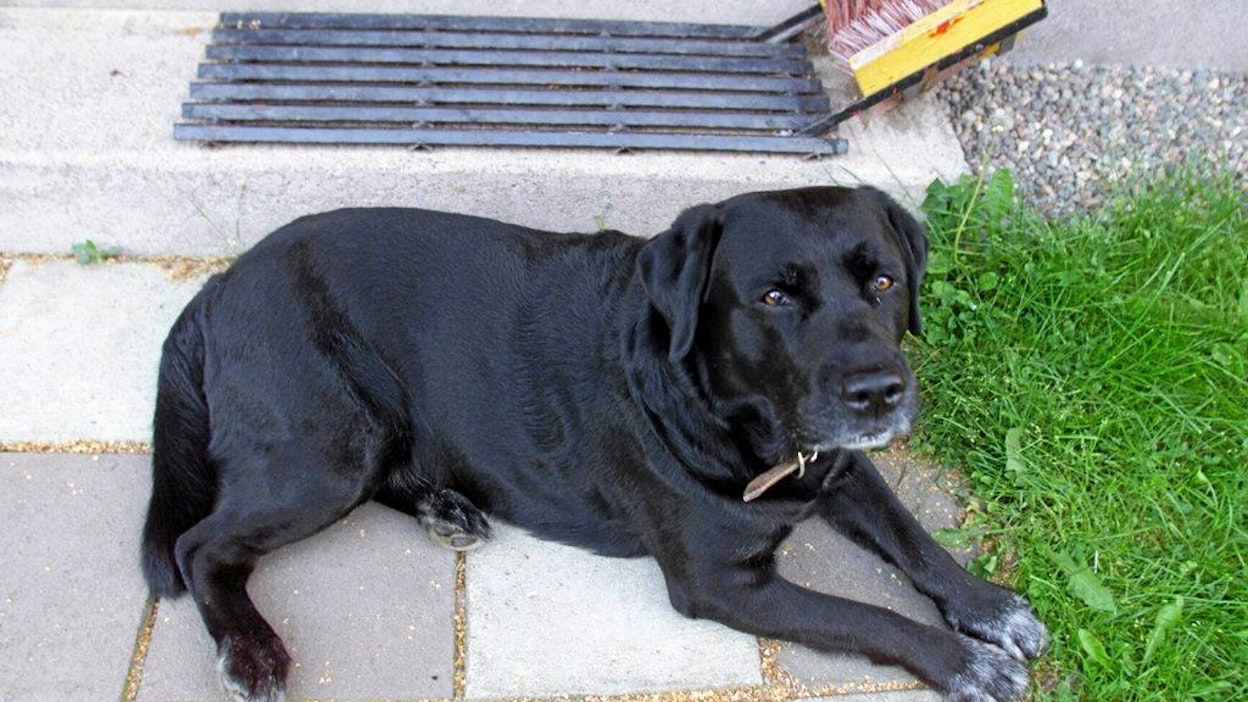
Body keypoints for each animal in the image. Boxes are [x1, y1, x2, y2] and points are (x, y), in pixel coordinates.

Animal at [141, 186, 1047, 702]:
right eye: (775, 297)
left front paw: (990, 609)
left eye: (884, 280)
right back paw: (250, 649)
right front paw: (964, 662)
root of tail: (219, 282)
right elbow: (869, 617)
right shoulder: (724, 585)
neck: (732, 420)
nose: (878, 391)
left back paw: (444, 507)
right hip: (328, 451)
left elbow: (914, 539)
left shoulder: (837, 463)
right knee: (199, 545)